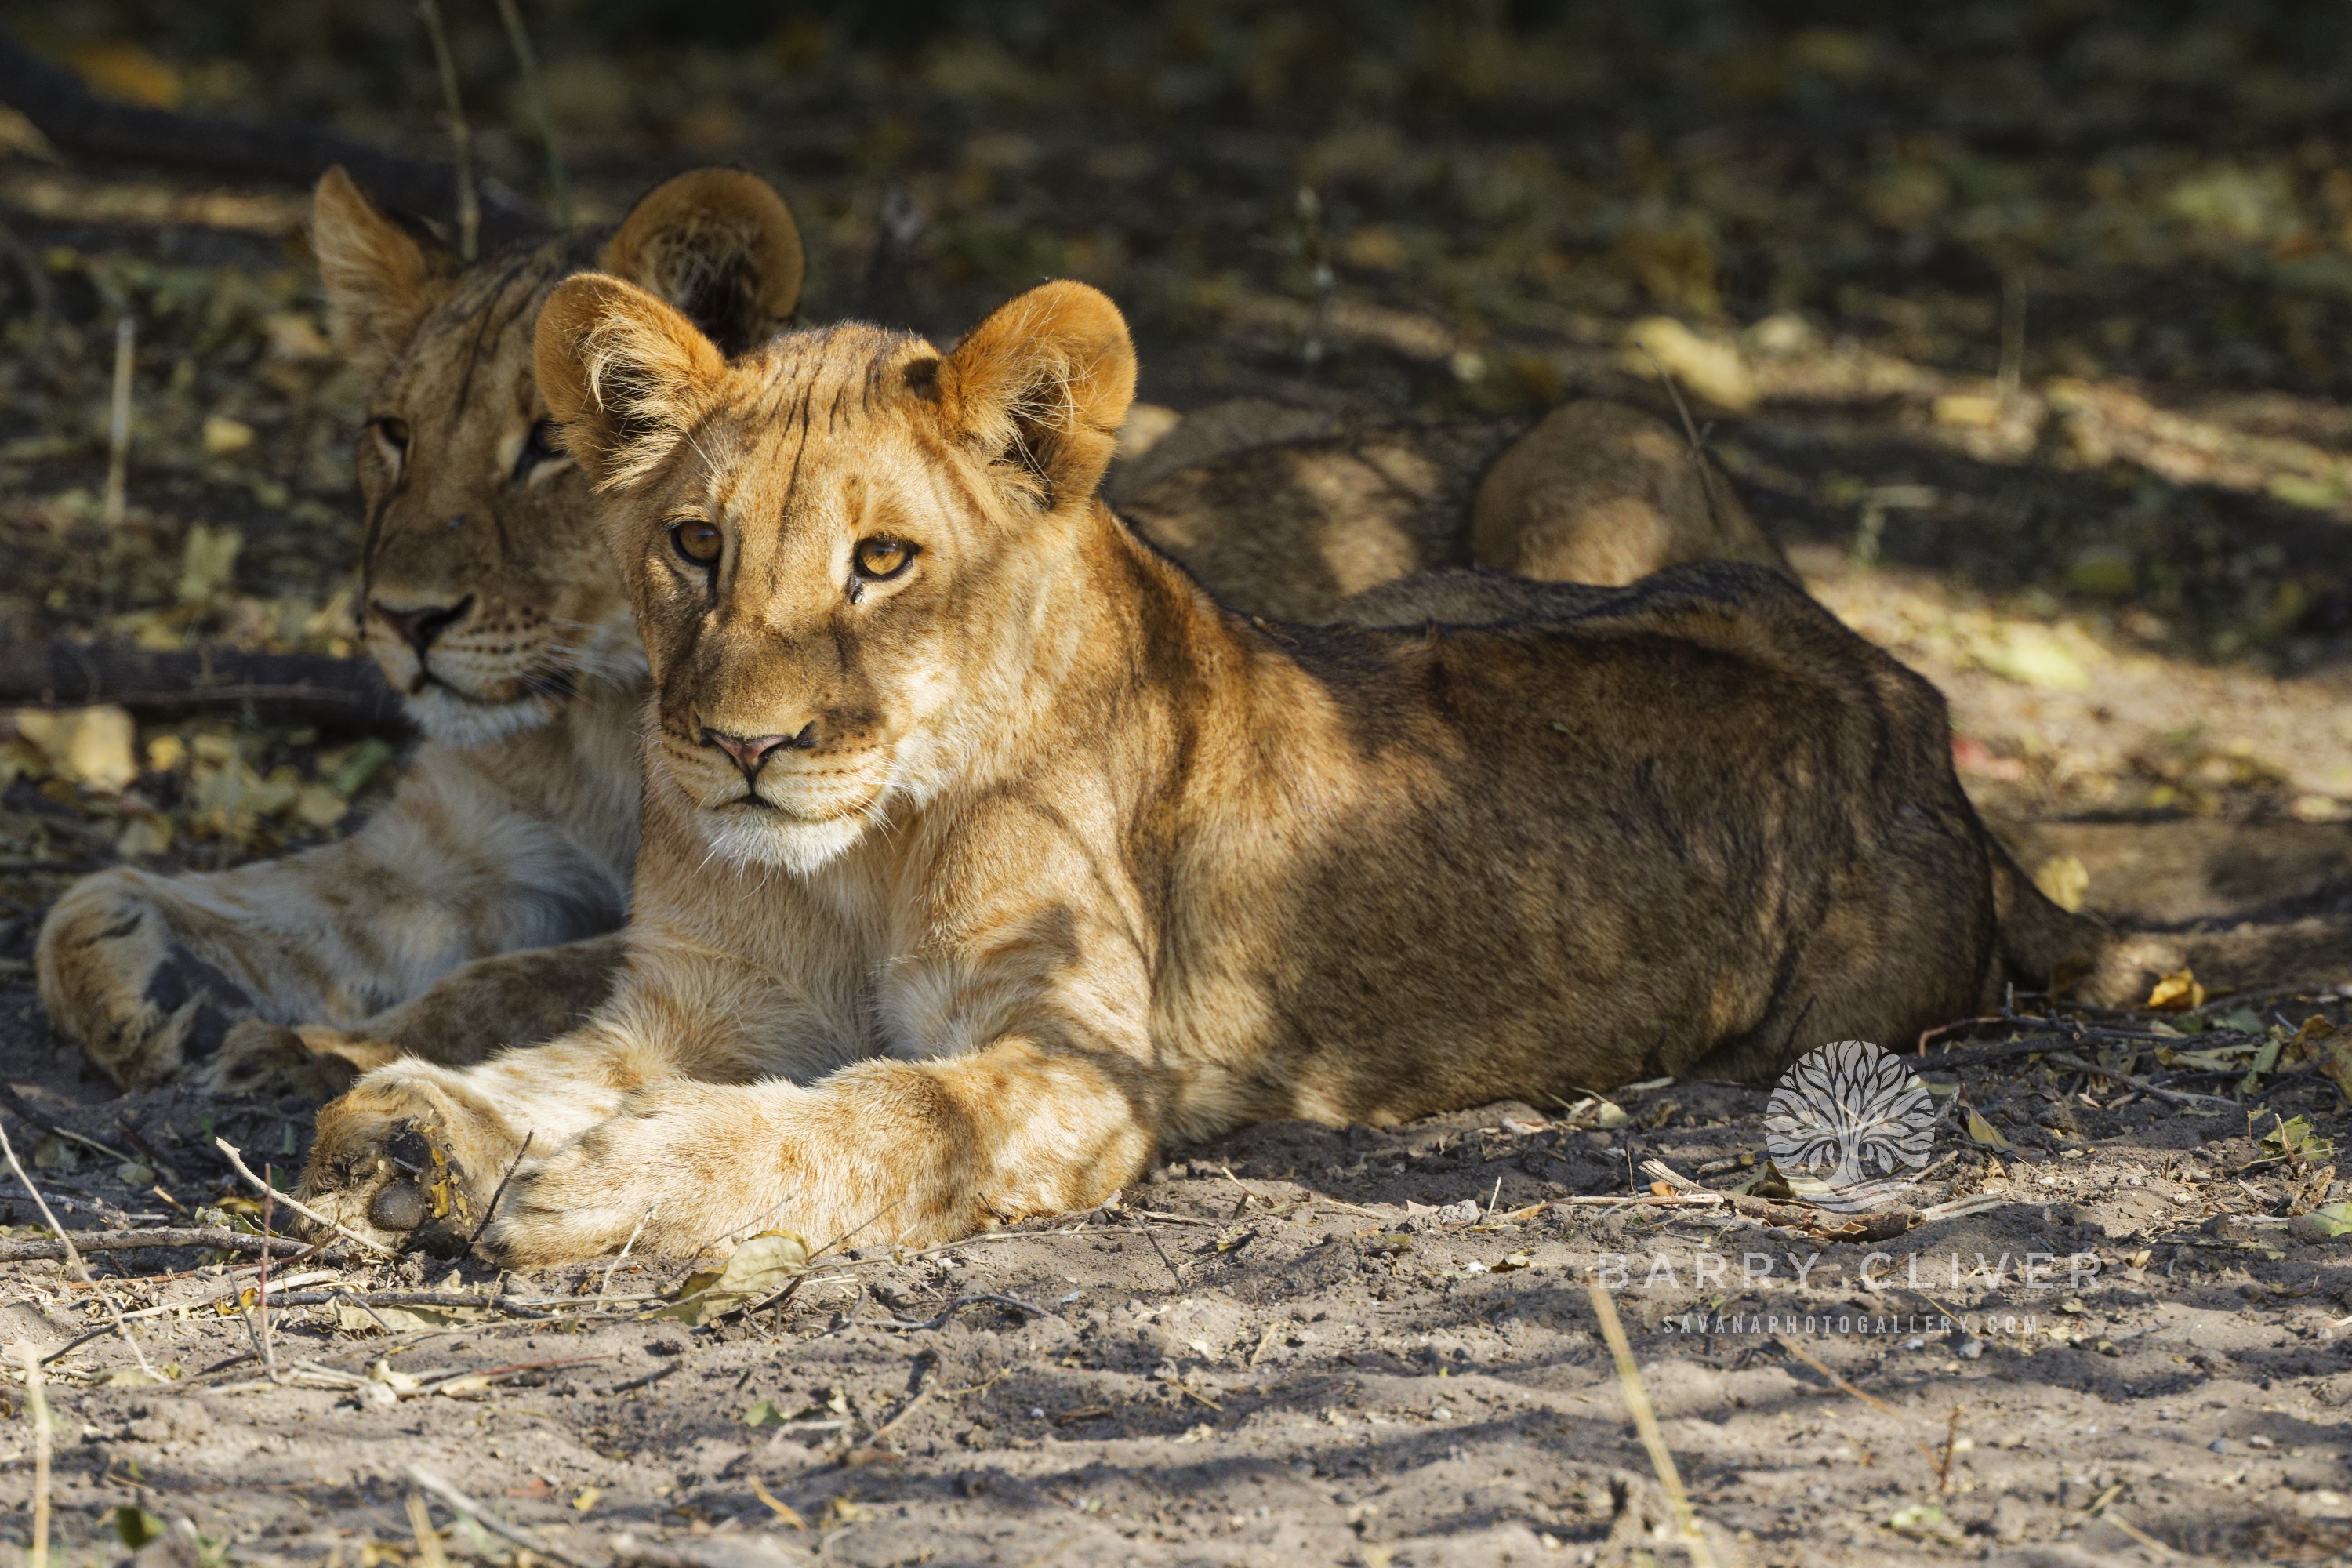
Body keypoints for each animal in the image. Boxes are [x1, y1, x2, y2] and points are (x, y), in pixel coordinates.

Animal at [35, 164, 807, 1092]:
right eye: (396, 433)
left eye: (550, 443)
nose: (405, 619)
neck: (597, 726)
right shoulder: (463, 843)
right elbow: (300, 899)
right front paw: (150, 959)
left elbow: (528, 981)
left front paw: (316, 1051)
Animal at [292, 275, 2086, 1264]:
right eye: (693, 545)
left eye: (884, 560)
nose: (742, 747)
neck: (862, 856)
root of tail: (1899, 694)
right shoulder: (697, 1008)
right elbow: (560, 1063)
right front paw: (423, 1130)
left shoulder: (1078, 1066)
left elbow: (865, 1115)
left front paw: (611, 1180)